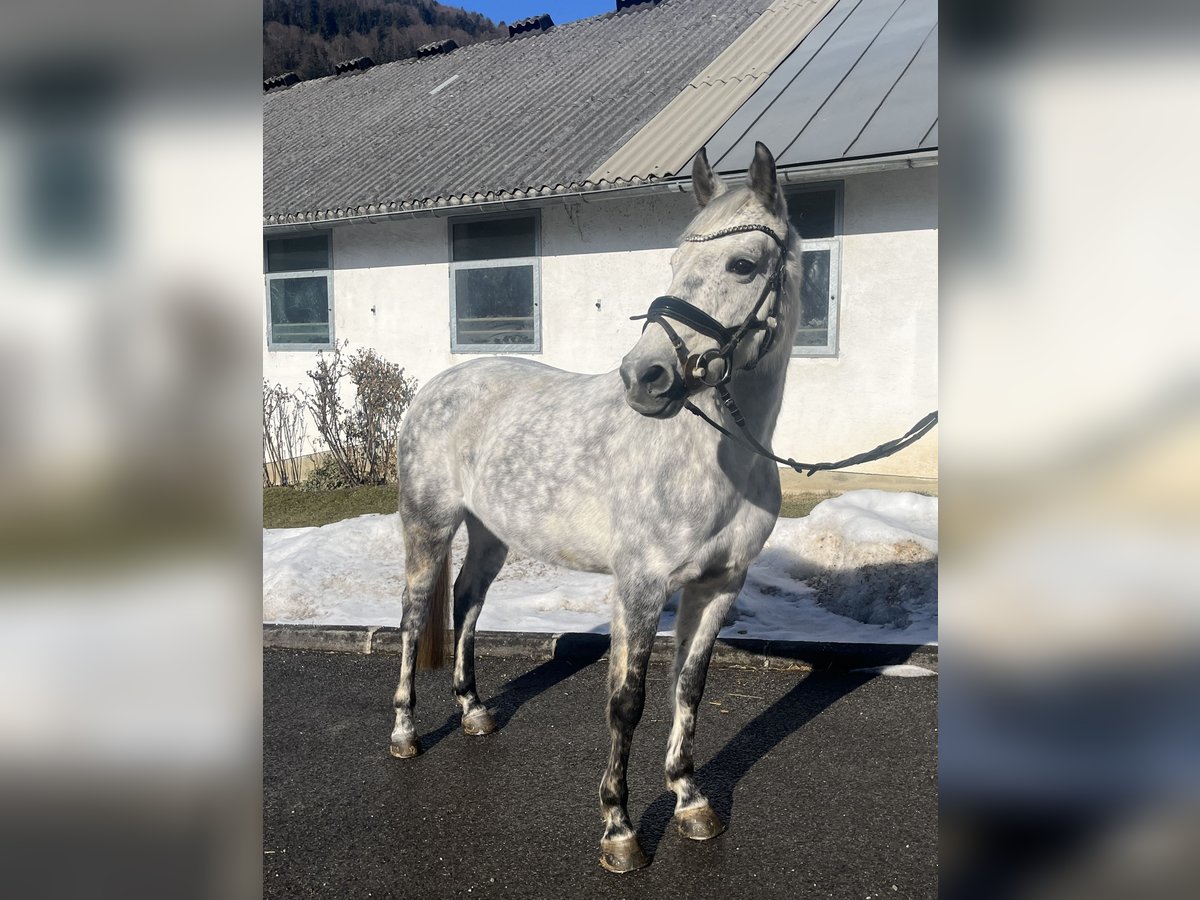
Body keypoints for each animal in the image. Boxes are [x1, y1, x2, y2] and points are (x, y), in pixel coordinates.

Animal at [389, 142, 801, 873]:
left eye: (742, 264)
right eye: (673, 264)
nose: (645, 377)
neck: (714, 457)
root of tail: (438, 385)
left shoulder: (720, 585)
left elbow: (688, 688)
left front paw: (691, 802)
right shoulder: (639, 585)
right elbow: (626, 702)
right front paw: (619, 831)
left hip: (491, 535)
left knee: (466, 603)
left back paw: (473, 712)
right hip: (428, 526)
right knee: (413, 617)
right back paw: (407, 732)